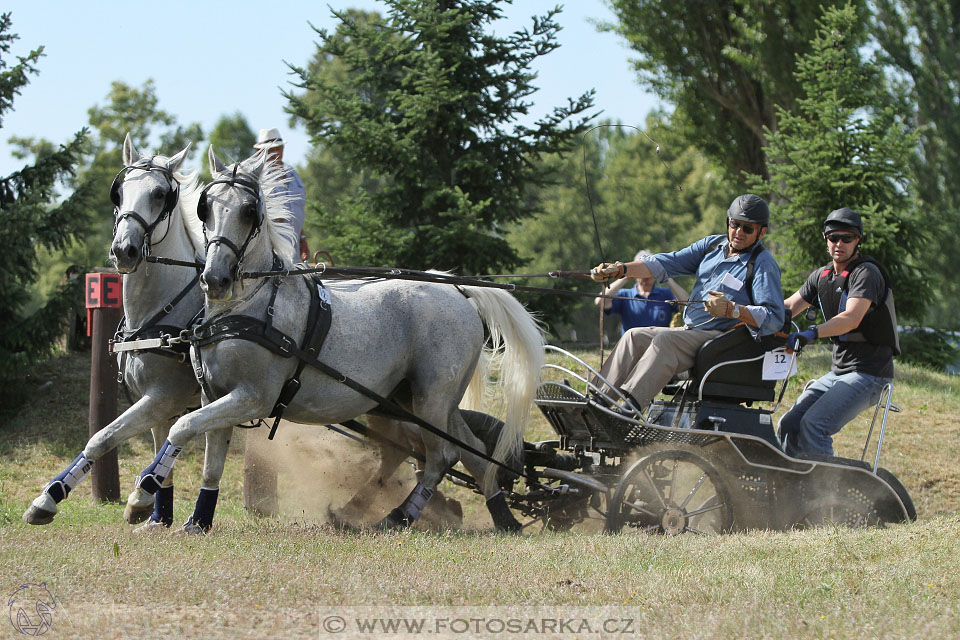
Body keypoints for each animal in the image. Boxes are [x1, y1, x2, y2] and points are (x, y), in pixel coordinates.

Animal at [130, 148, 544, 532]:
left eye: (249, 211)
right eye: (206, 208)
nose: (215, 278)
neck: (248, 307)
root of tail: (456, 289)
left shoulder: (251, 398)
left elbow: (180, 427)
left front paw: (143, 492)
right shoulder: (212, 395)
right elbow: (210, 461)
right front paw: (196, 520)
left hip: (432, 398)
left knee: (441, 455)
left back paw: (398, 515)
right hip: (419, 401)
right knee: (470, 451)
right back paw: (502, 516)